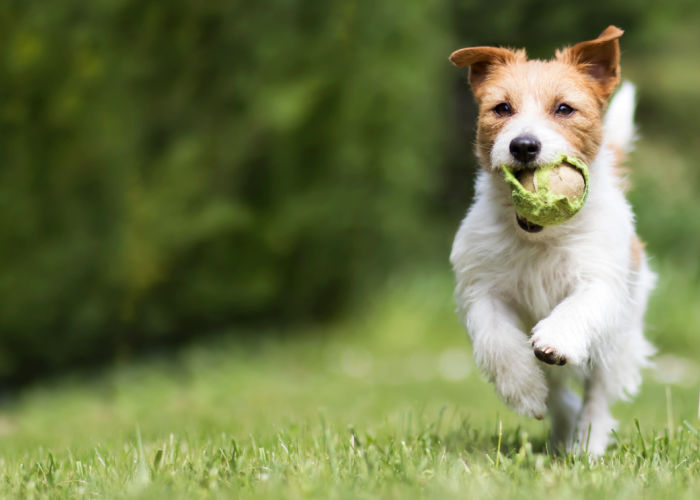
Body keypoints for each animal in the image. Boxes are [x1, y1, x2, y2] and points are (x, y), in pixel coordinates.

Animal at [448, 28, 656, 458]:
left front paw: (556, 339)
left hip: (619, 339)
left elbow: (578, 307)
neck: (540, 236)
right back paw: (558, 419)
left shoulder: (600, 281)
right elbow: (499, 340)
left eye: (564, 108)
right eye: (502, 108)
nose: (524, 145)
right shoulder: (483, 290)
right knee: (558, 390)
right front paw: (523, 391)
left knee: (597, 395)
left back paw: (586, 445)